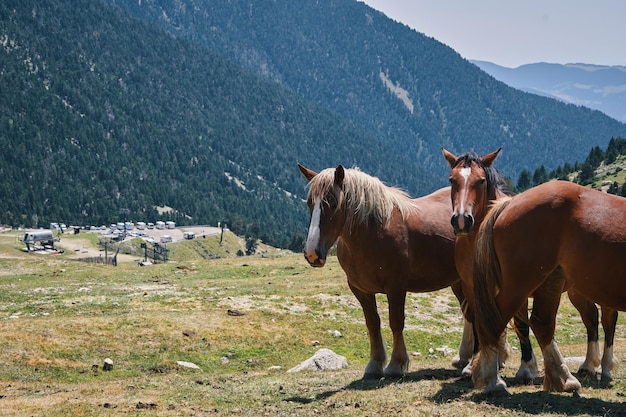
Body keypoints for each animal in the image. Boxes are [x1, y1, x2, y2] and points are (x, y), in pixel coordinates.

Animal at [296, 164, 468, 378]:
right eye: (310, 204)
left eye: (334, 204)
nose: (312, 253)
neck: (374, 233)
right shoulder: (360, 290)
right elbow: (372, 323)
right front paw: (374, 364)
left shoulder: (396, 286)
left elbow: (396, 322)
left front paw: (396, 364)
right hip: (458, 282)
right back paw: (464, 358)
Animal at [442, 149, 616, 390]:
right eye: (452, 180)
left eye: (481, 181)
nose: (461, 220)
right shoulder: (472, 289)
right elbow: (481, 322)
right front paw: (477, 364)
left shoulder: (518, 288)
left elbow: (521, 324)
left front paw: (526, 368)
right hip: (578, 290)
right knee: (590, 318)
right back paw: (589, 365)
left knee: (608, 321)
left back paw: (605, 368)